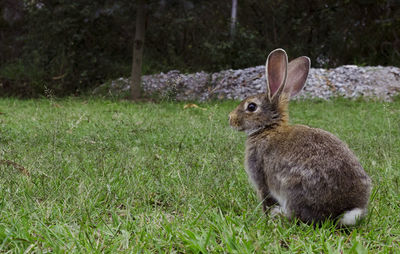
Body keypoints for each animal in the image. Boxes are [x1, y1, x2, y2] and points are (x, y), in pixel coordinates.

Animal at [228, 48, 372, 225]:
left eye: (251, 107)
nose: (230, 119)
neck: (268, 128)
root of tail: (346, 210)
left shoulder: (262, 180)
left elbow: (266, 200)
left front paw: (265, 217)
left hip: (293, 189)